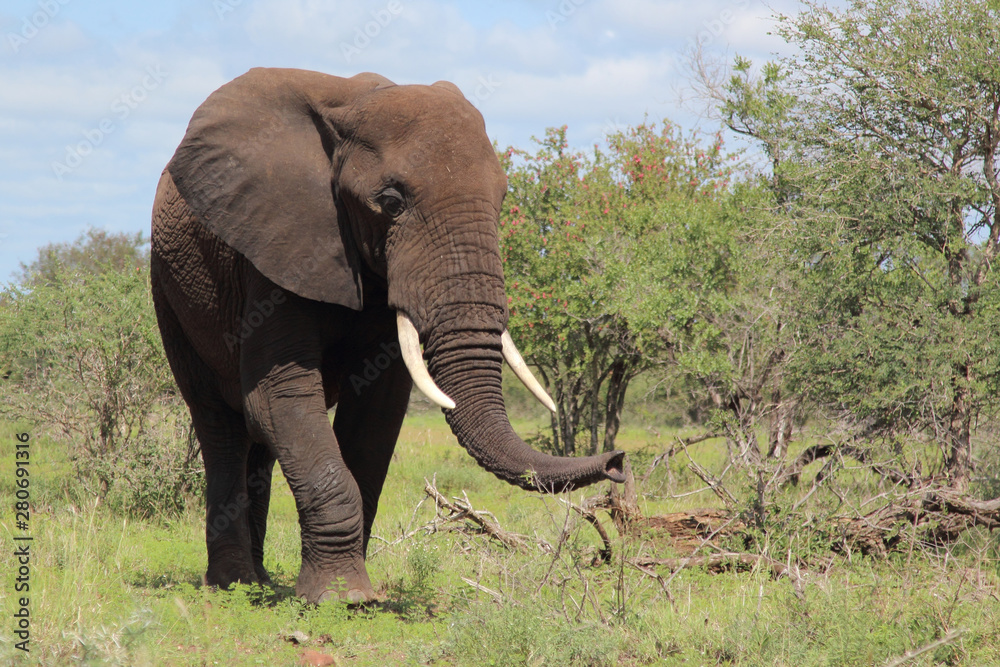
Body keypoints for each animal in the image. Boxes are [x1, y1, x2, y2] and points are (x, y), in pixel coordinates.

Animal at [151, 67, 626, 604]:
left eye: (503, 198)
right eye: (391, 203)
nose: (617, 461)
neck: (350, 106)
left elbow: (376, 412)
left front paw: (355, 593)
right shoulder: (274, 249)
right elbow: (280, 395)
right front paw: (341, 599)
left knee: (259, 442)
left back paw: (263, 581)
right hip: (171, 290)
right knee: (222, 424)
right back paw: (235, 585)